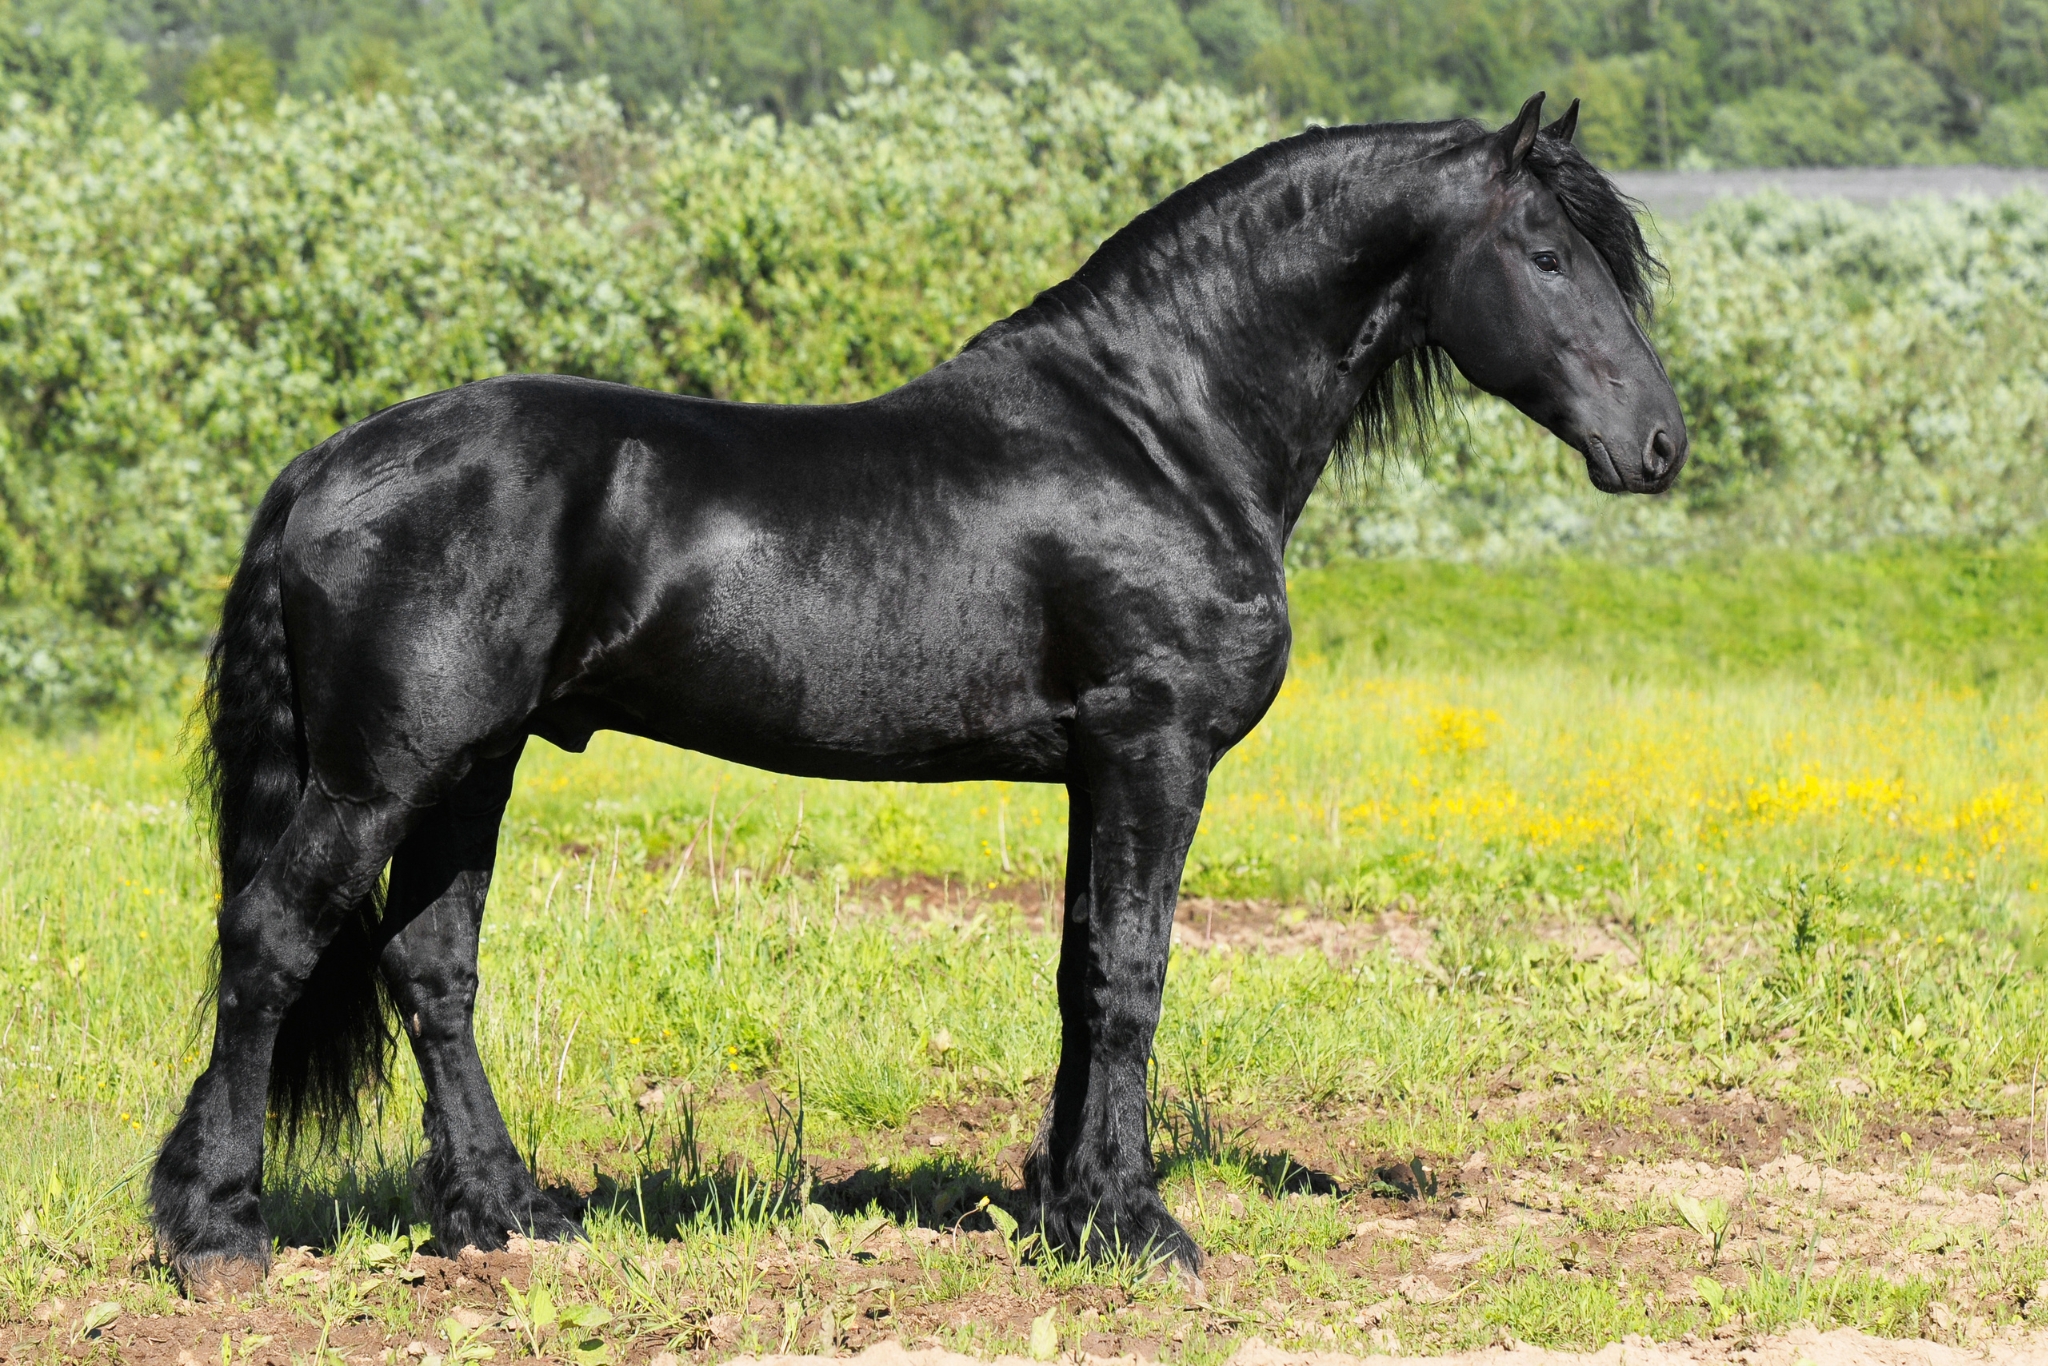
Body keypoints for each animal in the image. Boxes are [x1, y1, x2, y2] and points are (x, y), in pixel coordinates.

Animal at [151, 91, 1685, 1291]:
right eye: (1545, 254)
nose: (1660, 445)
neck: (1160, 428)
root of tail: (327, 464)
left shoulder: (1094, 768)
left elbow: (1077, 972)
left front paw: (1068, 1207)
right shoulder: (1154, 752)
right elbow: (1131, 975)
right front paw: (1138, 1227)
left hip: (475, 765)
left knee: (430, 966)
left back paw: (504, 1213)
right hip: (384, 771)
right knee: (271, 941)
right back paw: (215, 1228)